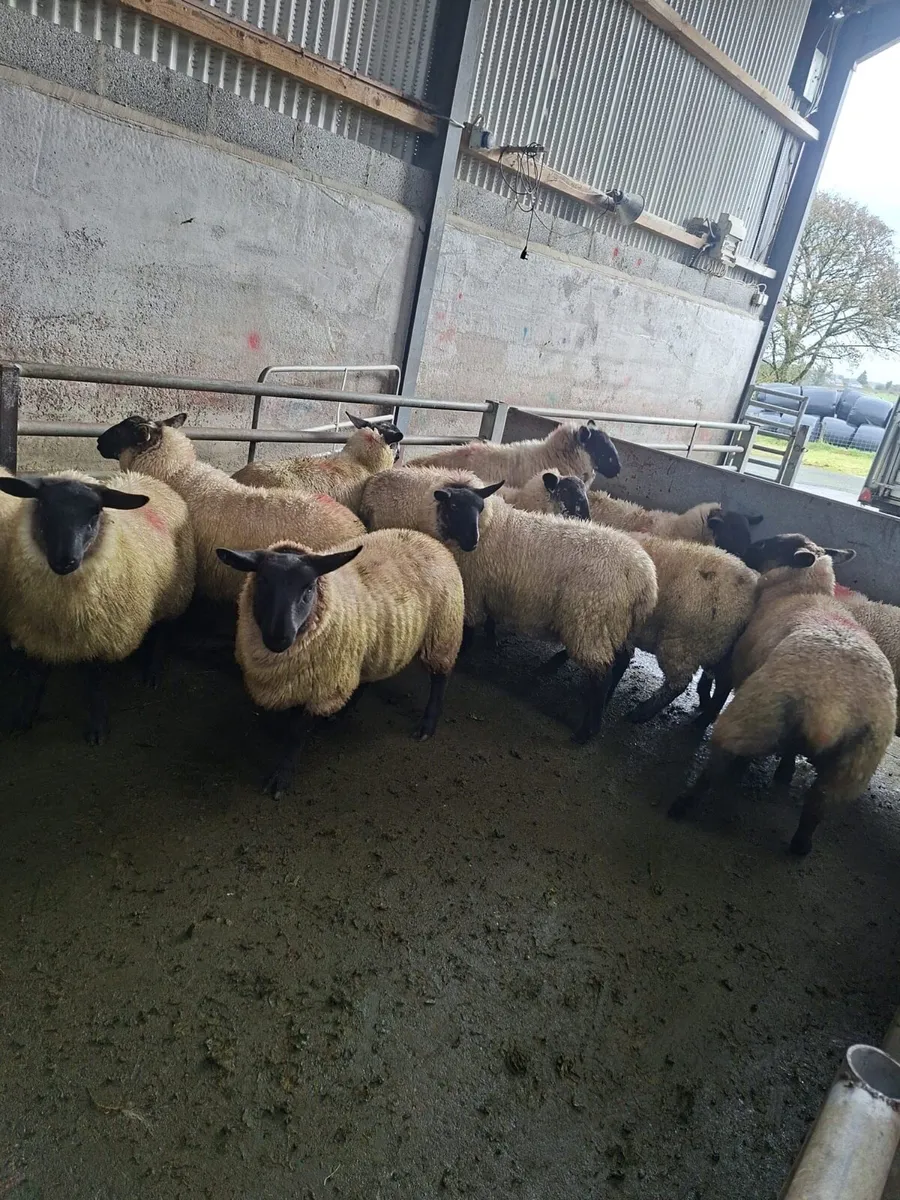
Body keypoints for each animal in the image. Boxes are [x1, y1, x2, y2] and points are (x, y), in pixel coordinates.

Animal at [0, 470, 196, 743]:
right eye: (44, 507)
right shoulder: (39, 633)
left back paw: (153, 673)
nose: (66, 560)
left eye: (95, 513)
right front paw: (24, 717)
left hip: (176, 592)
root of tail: (152, 480)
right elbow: (36, 678)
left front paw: (97, 727)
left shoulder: (101, 635)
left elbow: (94, 682)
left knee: (165, 631)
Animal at [216, 530, 464, 797]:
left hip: (442, 634)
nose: (279, 637)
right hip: (374, 645)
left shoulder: (322, 686)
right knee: (366, 678)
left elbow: (296, 734)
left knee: (440, 679)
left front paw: (281, 776)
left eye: (309, 588)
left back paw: (427, 725)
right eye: (262, 581)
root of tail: (427, 538)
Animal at [360, 466, 658, 742]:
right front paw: (489, 639)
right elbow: (487, 621)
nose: (472, 542)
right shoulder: (486, 589)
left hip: (591, 621)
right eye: (453, 506)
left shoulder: (472, 590)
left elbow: (469, 628)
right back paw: (605, 701)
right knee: (622, 660)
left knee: (601, 675)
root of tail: (644, 580)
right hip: (616, 624)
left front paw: (465, 652)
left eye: (479, 508)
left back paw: (587, 730)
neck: (491, 527)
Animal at [502, 469, 758, 721]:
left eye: (746, 540)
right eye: (731, 537)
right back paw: (706, 712)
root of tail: (748, 592)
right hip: (719, 649)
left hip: (685, 643)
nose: (583, 516)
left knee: (680, 683)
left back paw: (644, 713)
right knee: (723, 682)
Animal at [669, 534, 896, 855]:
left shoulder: (738, 665)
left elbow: (720, 693)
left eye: (769, 545)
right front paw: (785, 771)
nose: (743, 548)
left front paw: (703, 717)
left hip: (755, 714)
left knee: (716, 766)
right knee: (816, 806)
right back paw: (801, 845)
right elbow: (789, 753)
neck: (802, 591)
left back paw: (684, 803)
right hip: (851, 767)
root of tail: (833, 708)